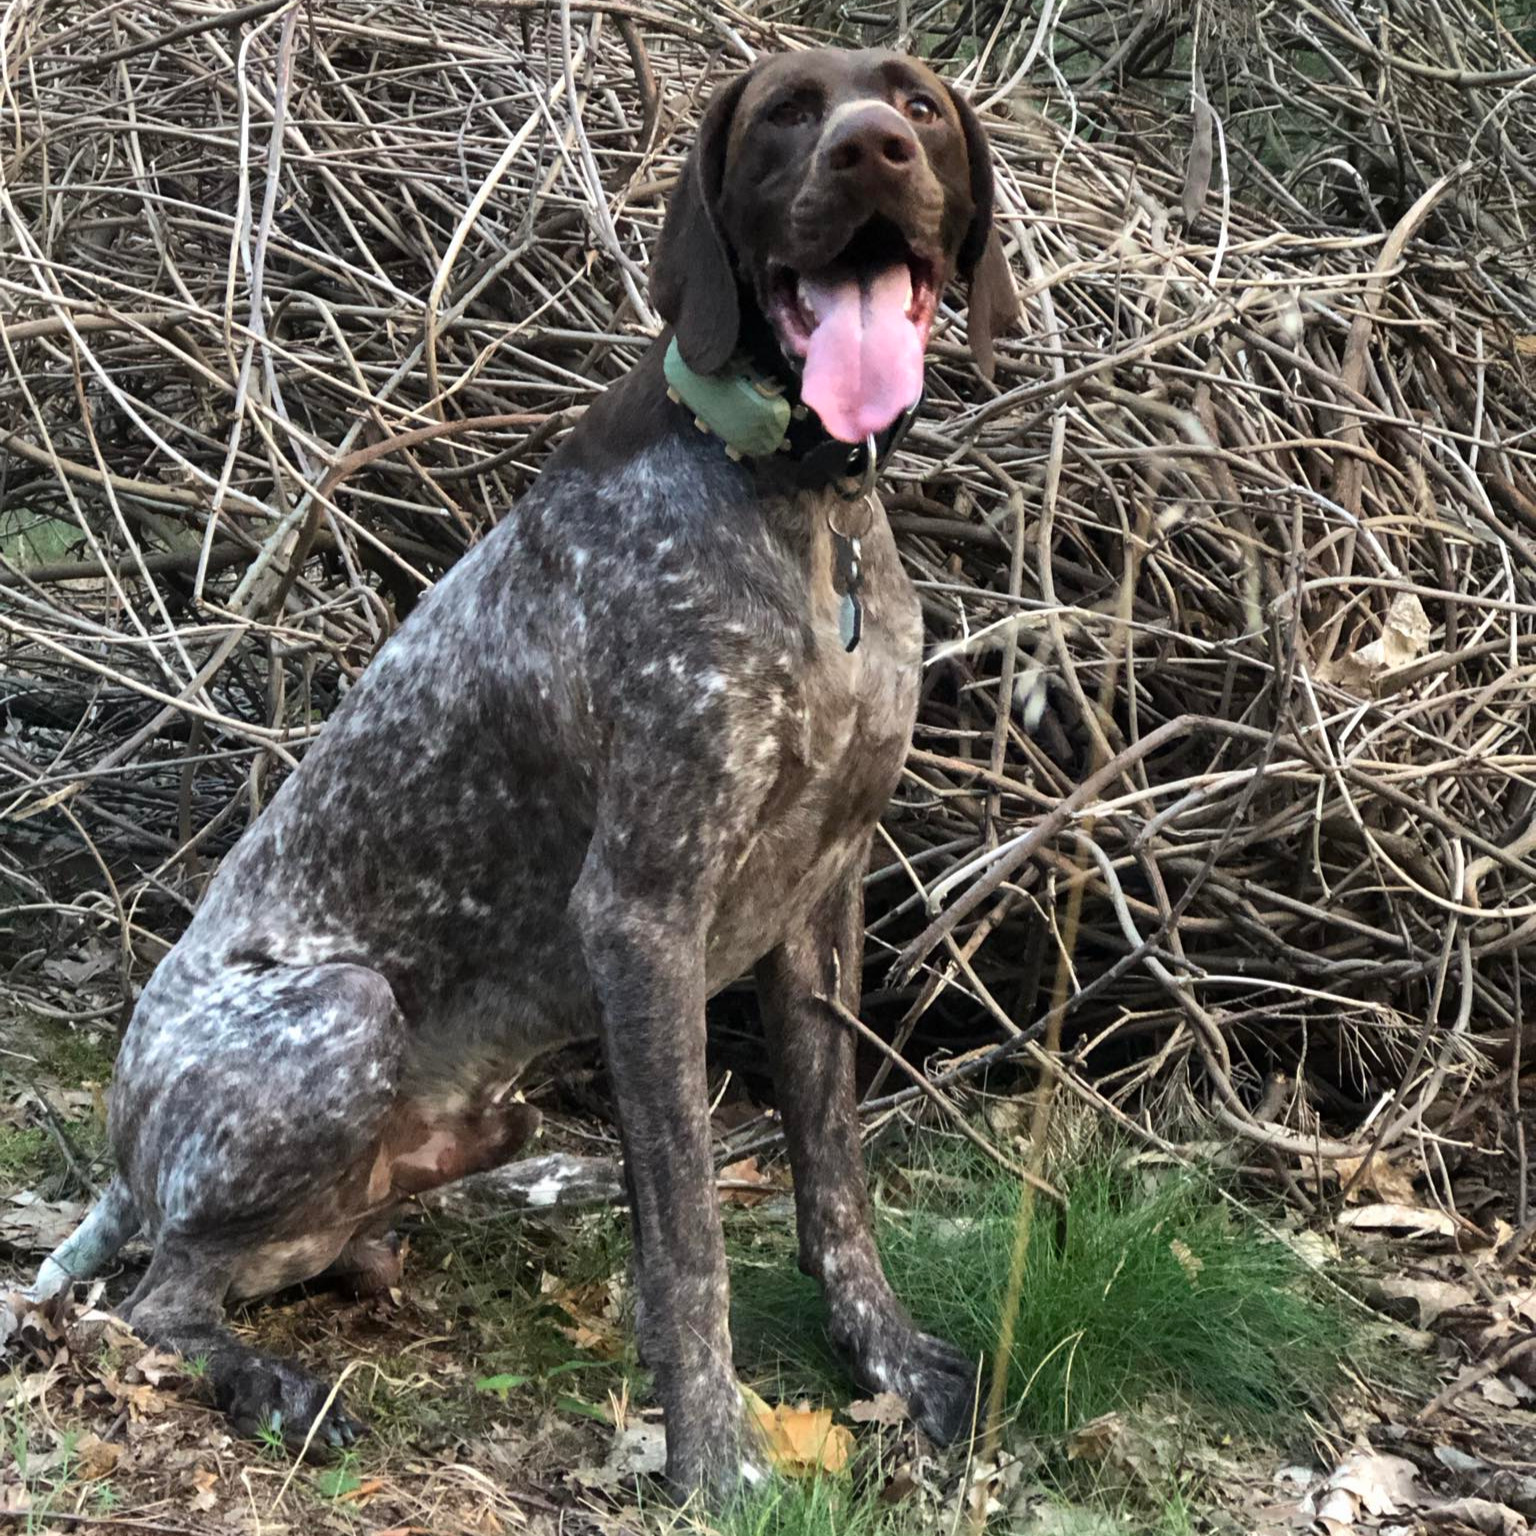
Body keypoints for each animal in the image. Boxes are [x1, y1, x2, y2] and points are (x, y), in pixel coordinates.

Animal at [29, 44, 1013, 1499]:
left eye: (921, 108)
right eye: (786, 116)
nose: (871, 151)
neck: (799, 503)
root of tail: (114, 1151)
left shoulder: (823, 902)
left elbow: (834, 1179)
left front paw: (885, 1359)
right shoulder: (644, 915)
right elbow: (689, 1239)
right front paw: (716, 1457)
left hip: (470, 1125)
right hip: (341, 1015)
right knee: (155, 1299)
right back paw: (274, 1387)